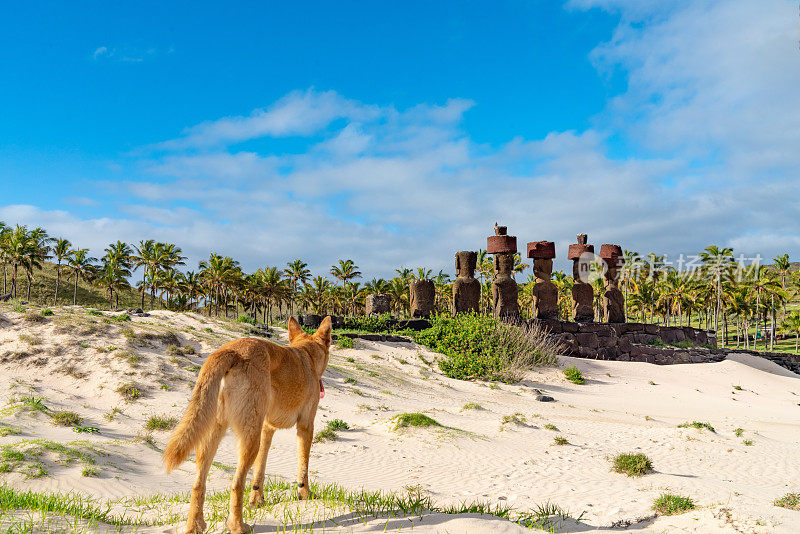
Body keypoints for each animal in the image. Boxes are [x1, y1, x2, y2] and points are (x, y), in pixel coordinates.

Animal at [163, 316, 332, 532]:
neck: (306, 354)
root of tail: (229, 350)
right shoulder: (306, 426)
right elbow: (303, 468)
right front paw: (305, 494)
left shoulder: (266, 430)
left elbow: (259, 473)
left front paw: (257, 500)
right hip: (249, 441)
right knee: (236, 484)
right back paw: (237, 526)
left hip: (214, 435)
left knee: (199, 484)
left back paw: (195, 525)